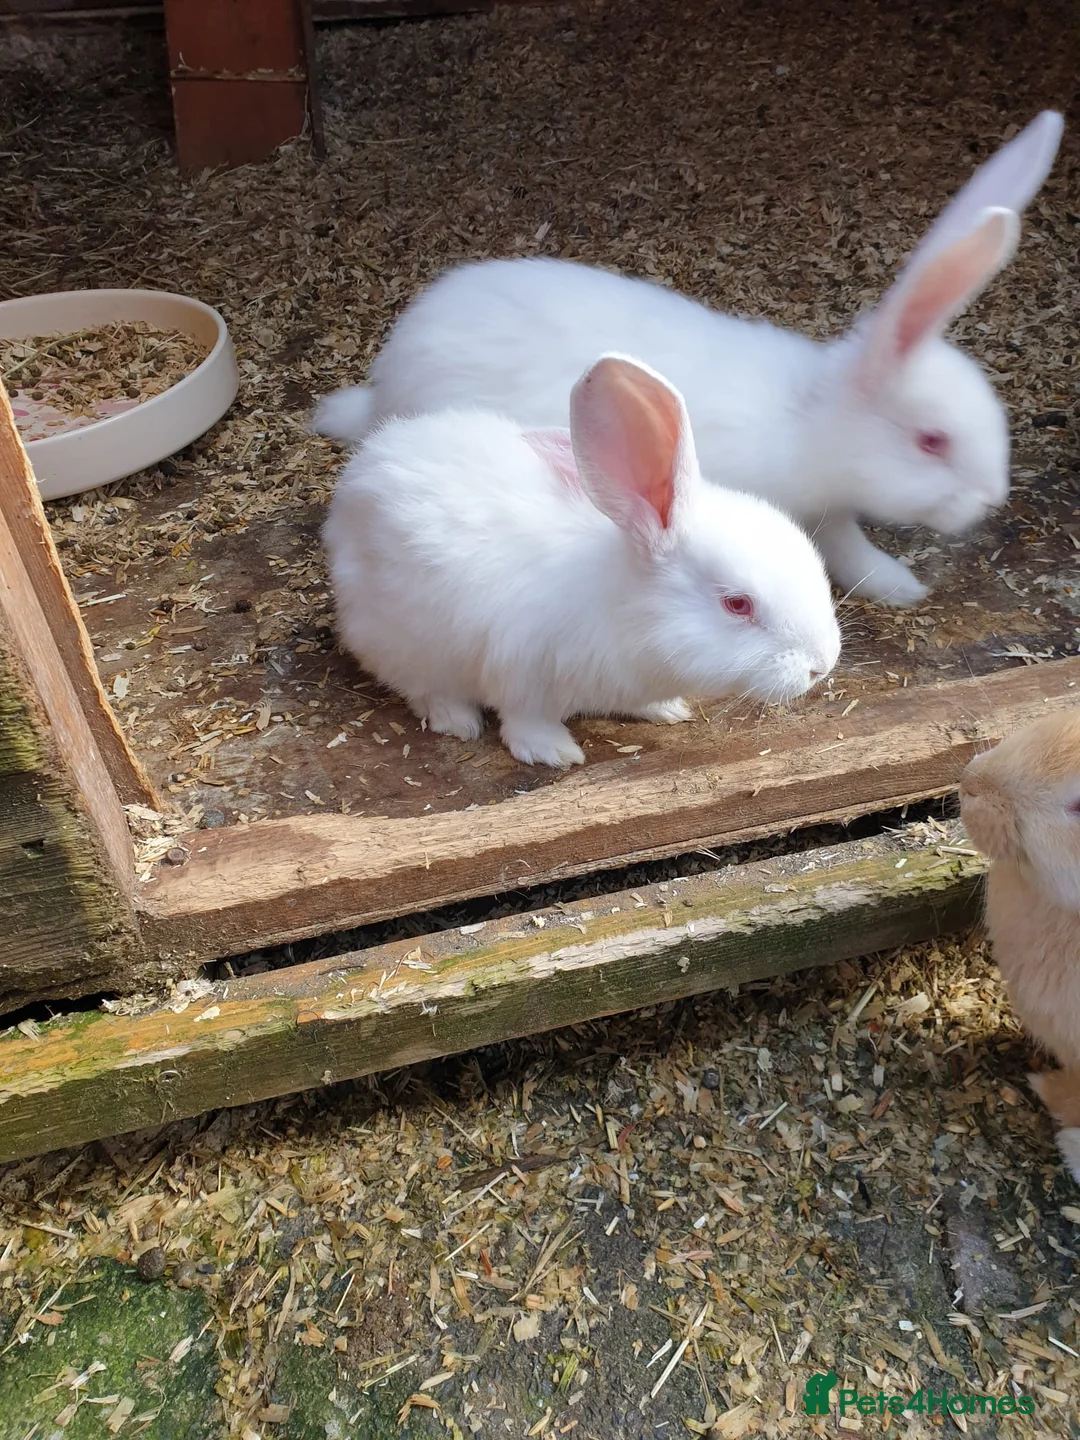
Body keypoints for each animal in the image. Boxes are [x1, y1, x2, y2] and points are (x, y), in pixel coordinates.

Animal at [314, 111, 1064, 610]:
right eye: (933, 441)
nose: (992, 499)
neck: (812, 421)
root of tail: (382, 388)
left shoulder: (831, 513)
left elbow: (851, 551)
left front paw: (900, 587)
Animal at [322, 353, 841, 769]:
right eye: (737, 604)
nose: (822, 665)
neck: (627, 610)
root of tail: (357, 481)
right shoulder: (522, 672)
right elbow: (526, 721)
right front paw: (554, 753)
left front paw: (668, 709)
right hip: (404, 639)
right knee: (420, 685)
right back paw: (457, 720)